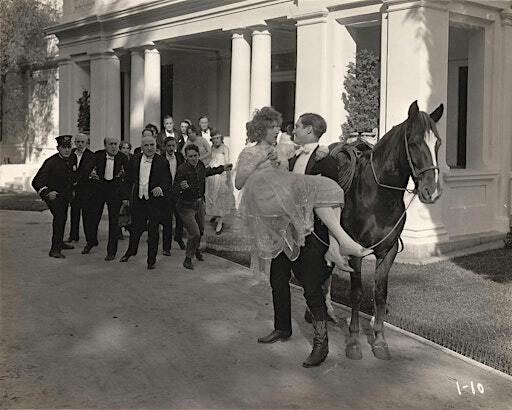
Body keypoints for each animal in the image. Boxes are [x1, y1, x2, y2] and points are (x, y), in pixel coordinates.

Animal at [332, 100, 444, 358]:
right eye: (413, 143)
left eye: (438, 143)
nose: (431, 191)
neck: (378, 195)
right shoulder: (355, 249)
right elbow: (356, 293)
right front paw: (354, 341)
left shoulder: (388, 250)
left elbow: (380, 293)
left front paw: (380, 340)